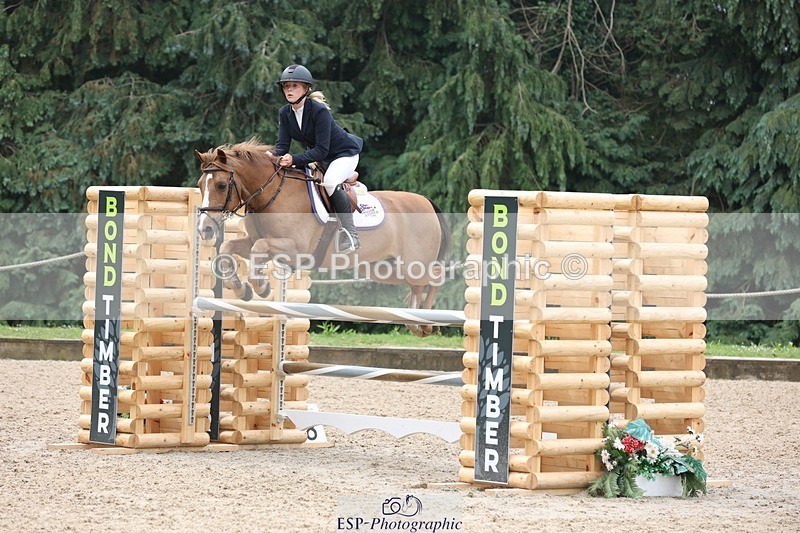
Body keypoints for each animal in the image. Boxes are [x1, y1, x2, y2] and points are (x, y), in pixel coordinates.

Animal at [194, 140, 451, 337]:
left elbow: (259, 248)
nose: (205, 229)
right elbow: (228, 247)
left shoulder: (297, 250)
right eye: (200, 185)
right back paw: (417, 320)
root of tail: (427, 202)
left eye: (221, 185)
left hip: (412, 264)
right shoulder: (255, 242)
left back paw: (423, 323)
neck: (272, 195)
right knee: (419, 285)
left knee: (434, 277)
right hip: (385, 269)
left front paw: (262, 287)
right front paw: (241, 290)